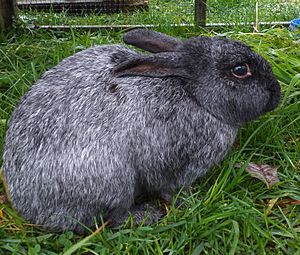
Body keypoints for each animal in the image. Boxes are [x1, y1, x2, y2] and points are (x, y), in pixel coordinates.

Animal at [1, 28, 282, 232]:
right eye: (240, 70)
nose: (276, 94)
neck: (193, 94)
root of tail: (30, 208)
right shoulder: (176, 166)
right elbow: (170, 190)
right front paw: (193, 203)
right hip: (112, 182)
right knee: (107, 219)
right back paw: (147, 215)